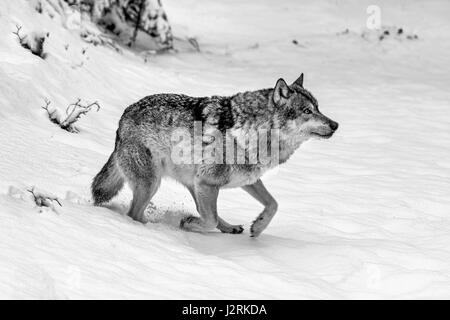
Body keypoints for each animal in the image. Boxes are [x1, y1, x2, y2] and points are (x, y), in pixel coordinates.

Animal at [91, 74, 338, 236]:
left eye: (318, 108)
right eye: (307, 111)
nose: (335, 125)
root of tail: (122, 119)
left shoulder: (246, 180)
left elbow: (273, 204)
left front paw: (258, 227)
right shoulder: (207, 182)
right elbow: (209, 220)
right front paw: (187, 223)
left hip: (191, 183)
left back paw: (230, 227)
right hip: (153, 183)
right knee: (133, 214)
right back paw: (152, 229)